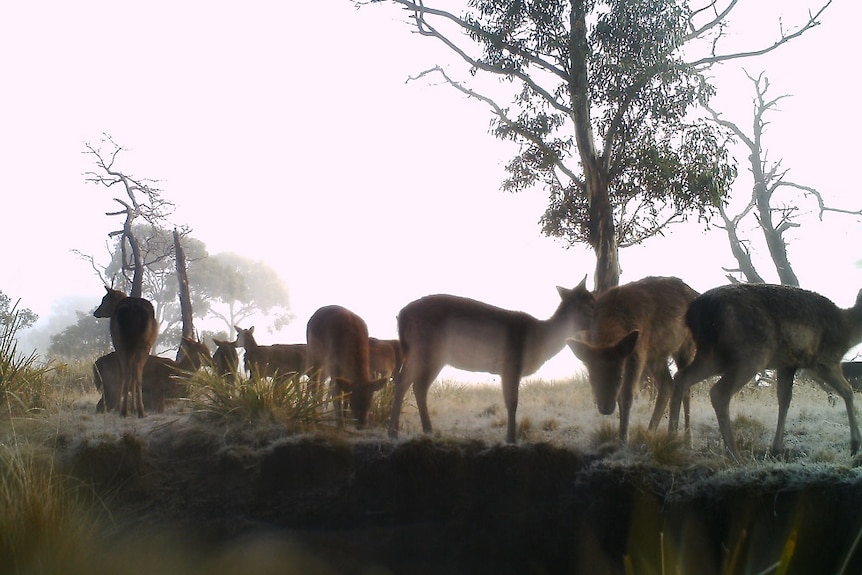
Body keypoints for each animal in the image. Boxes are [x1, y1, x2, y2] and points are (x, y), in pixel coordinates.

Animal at [94, 288, 160, 418]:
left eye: (104, 299)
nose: (96, 312)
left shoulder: (118, 345)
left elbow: (124, 373)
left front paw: (122, 408)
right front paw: (133, 409)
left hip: (123, 343)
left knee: (127, 371)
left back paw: (124, 410)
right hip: (144, 344)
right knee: (137, 371)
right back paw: (140, 411)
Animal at [390, 280, 592, 446]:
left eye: (592, 298)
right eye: (588, 303)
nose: (599, 316)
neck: (539, 340)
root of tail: (401, 316)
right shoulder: (511, 362)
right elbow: (512, 402)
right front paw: (511, 439)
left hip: (435, 357)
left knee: (419, 386)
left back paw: (428, 431)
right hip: (421, 348)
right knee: (401, 382)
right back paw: (393, 433)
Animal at [568, 276, 704, 444]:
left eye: (619, 376)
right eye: (591, 377)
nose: (606, 408)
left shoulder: (637, 353)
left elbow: (627, 396)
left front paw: (623, 439)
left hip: (686, 346)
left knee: (685, 385)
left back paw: (686, 437)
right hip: (656, 356)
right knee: (667, 384)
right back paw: (651, 432)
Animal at [672, 284, 862, 464]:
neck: (848, 331)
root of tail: (696, 312)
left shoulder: (787, 365)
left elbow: (784, 400)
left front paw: (776, 449)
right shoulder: (823, 361)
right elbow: (848, 391)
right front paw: (854, 445)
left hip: (713, 356)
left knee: (681, 377)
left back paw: (671, 439)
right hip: (752, 354)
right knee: (718, 392)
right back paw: (734, 455)